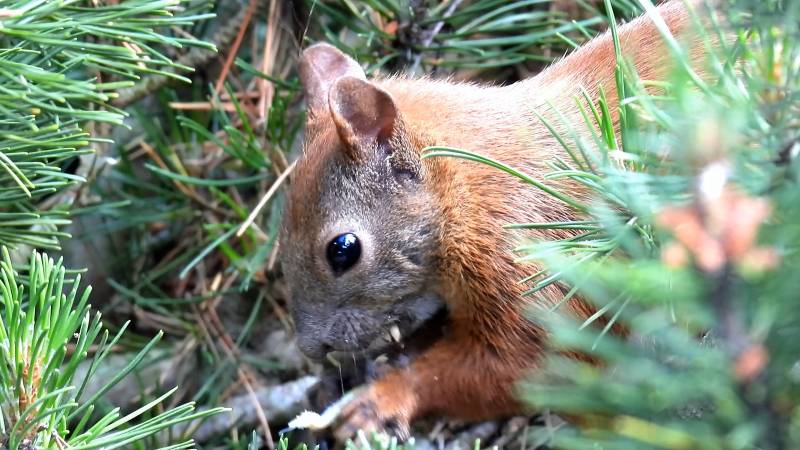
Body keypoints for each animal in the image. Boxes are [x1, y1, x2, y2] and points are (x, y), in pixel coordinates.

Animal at [278, 0, 716, 442]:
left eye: (343, 250)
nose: (311, 348)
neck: (472, 193)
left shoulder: (538, 268)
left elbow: (522, 368)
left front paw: (381, 398)